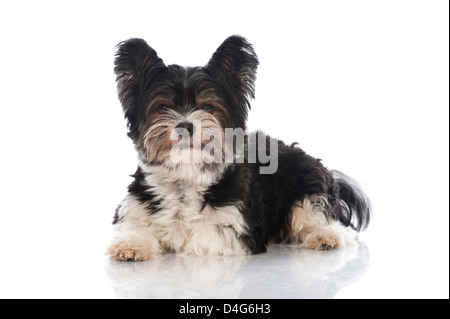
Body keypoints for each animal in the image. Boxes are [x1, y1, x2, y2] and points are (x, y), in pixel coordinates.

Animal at [107, 35, 370, 262]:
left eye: (208, 107)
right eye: (162, 107)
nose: (185, 126)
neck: (186, 175)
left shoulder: (237, 228)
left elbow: (199, 238)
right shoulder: (136, 208)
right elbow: (134, 228)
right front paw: (132, 245)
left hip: (308, 183)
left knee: (330, 225)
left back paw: (325, 237)